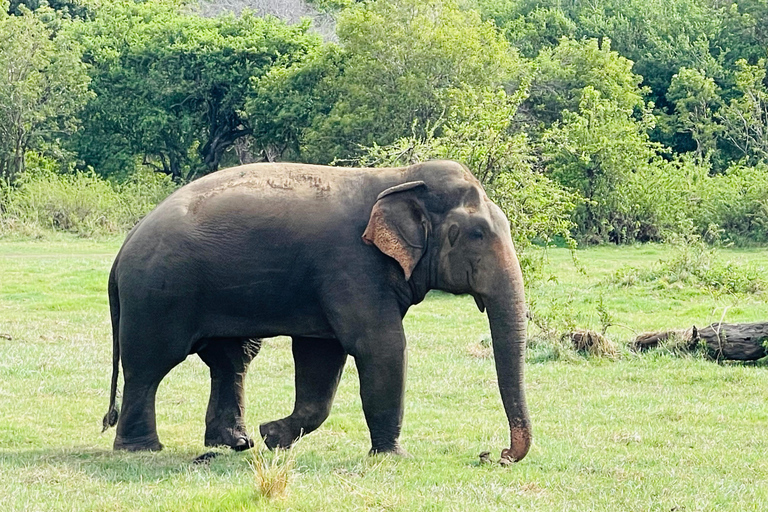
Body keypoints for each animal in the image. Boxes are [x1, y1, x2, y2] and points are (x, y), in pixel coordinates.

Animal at [102, 159, 531, 462]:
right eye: (476, 234)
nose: (497, 455)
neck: (399, 177)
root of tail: (121, 251)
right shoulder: (351, 265)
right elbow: (381, 346)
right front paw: (395, 456)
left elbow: (321, 355)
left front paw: (272, 436)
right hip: (157, 294)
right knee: (150, 364)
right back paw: (142, 449)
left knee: (232, 360)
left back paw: (236, 443)